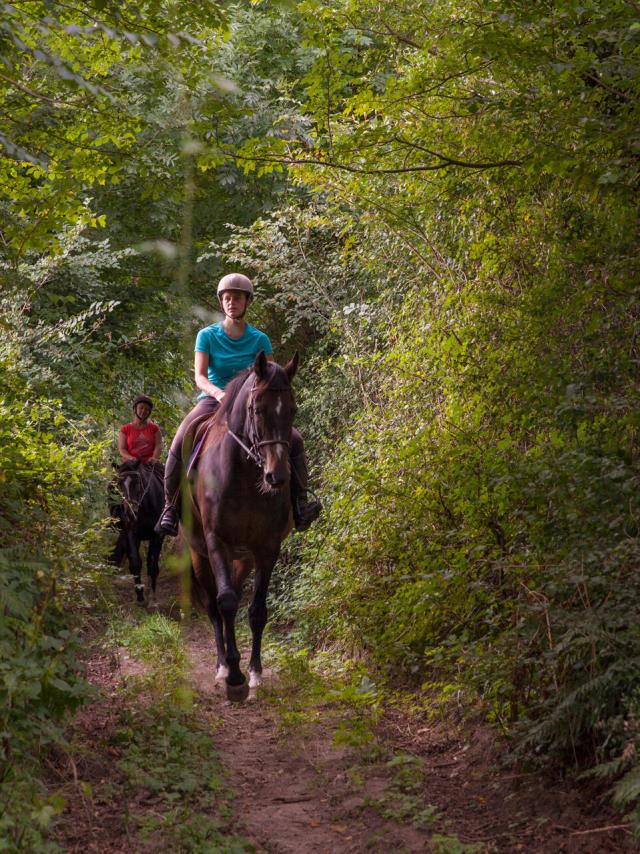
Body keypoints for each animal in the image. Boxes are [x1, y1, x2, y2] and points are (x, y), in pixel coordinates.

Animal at [182, 350, 298, 704]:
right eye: (257, 409)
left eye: (292, 409)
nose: (277, 476)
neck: (246, 477)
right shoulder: (216, 542)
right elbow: (226, 603)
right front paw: (234, 678)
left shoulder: (267, 547)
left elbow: (257, 610)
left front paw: (255, 673)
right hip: (199, 554)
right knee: (213, 608)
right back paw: (221, 666)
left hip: (243, 558)